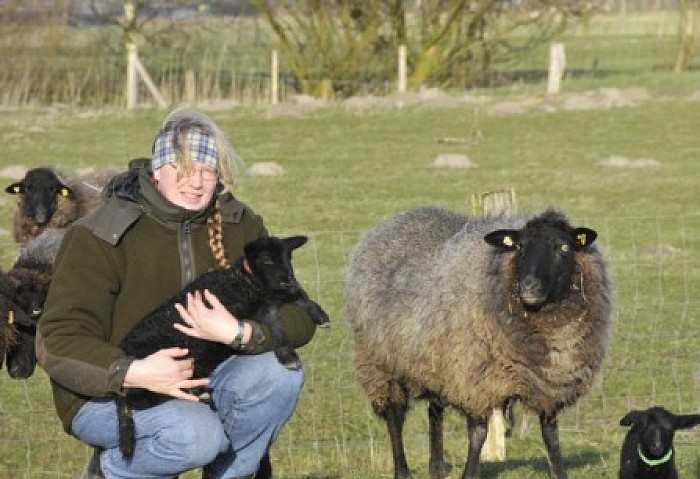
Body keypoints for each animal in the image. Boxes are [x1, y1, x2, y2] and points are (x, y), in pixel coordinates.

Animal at [116, 234, 330, 460]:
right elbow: (275, 318)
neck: (244, 281)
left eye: (288, 257)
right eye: (266, 259)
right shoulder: (255, 305)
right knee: (138, 398)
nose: (288, 279)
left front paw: (320, 315)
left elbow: (295, 298)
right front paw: (288, 355)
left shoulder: (268, 296)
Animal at [344, 206, 612, 479]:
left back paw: (437, 468)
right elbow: (478, 433)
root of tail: (393, 220)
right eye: (519, 247)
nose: (528, 287)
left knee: (434, 411)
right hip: (379, 361)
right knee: (394, 415)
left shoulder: (551, 384)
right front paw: (469, 473)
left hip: (435, 360)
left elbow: (551, 434)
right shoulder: (474, 379)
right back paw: (402, 471)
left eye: (564, 248)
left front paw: (559, 472)